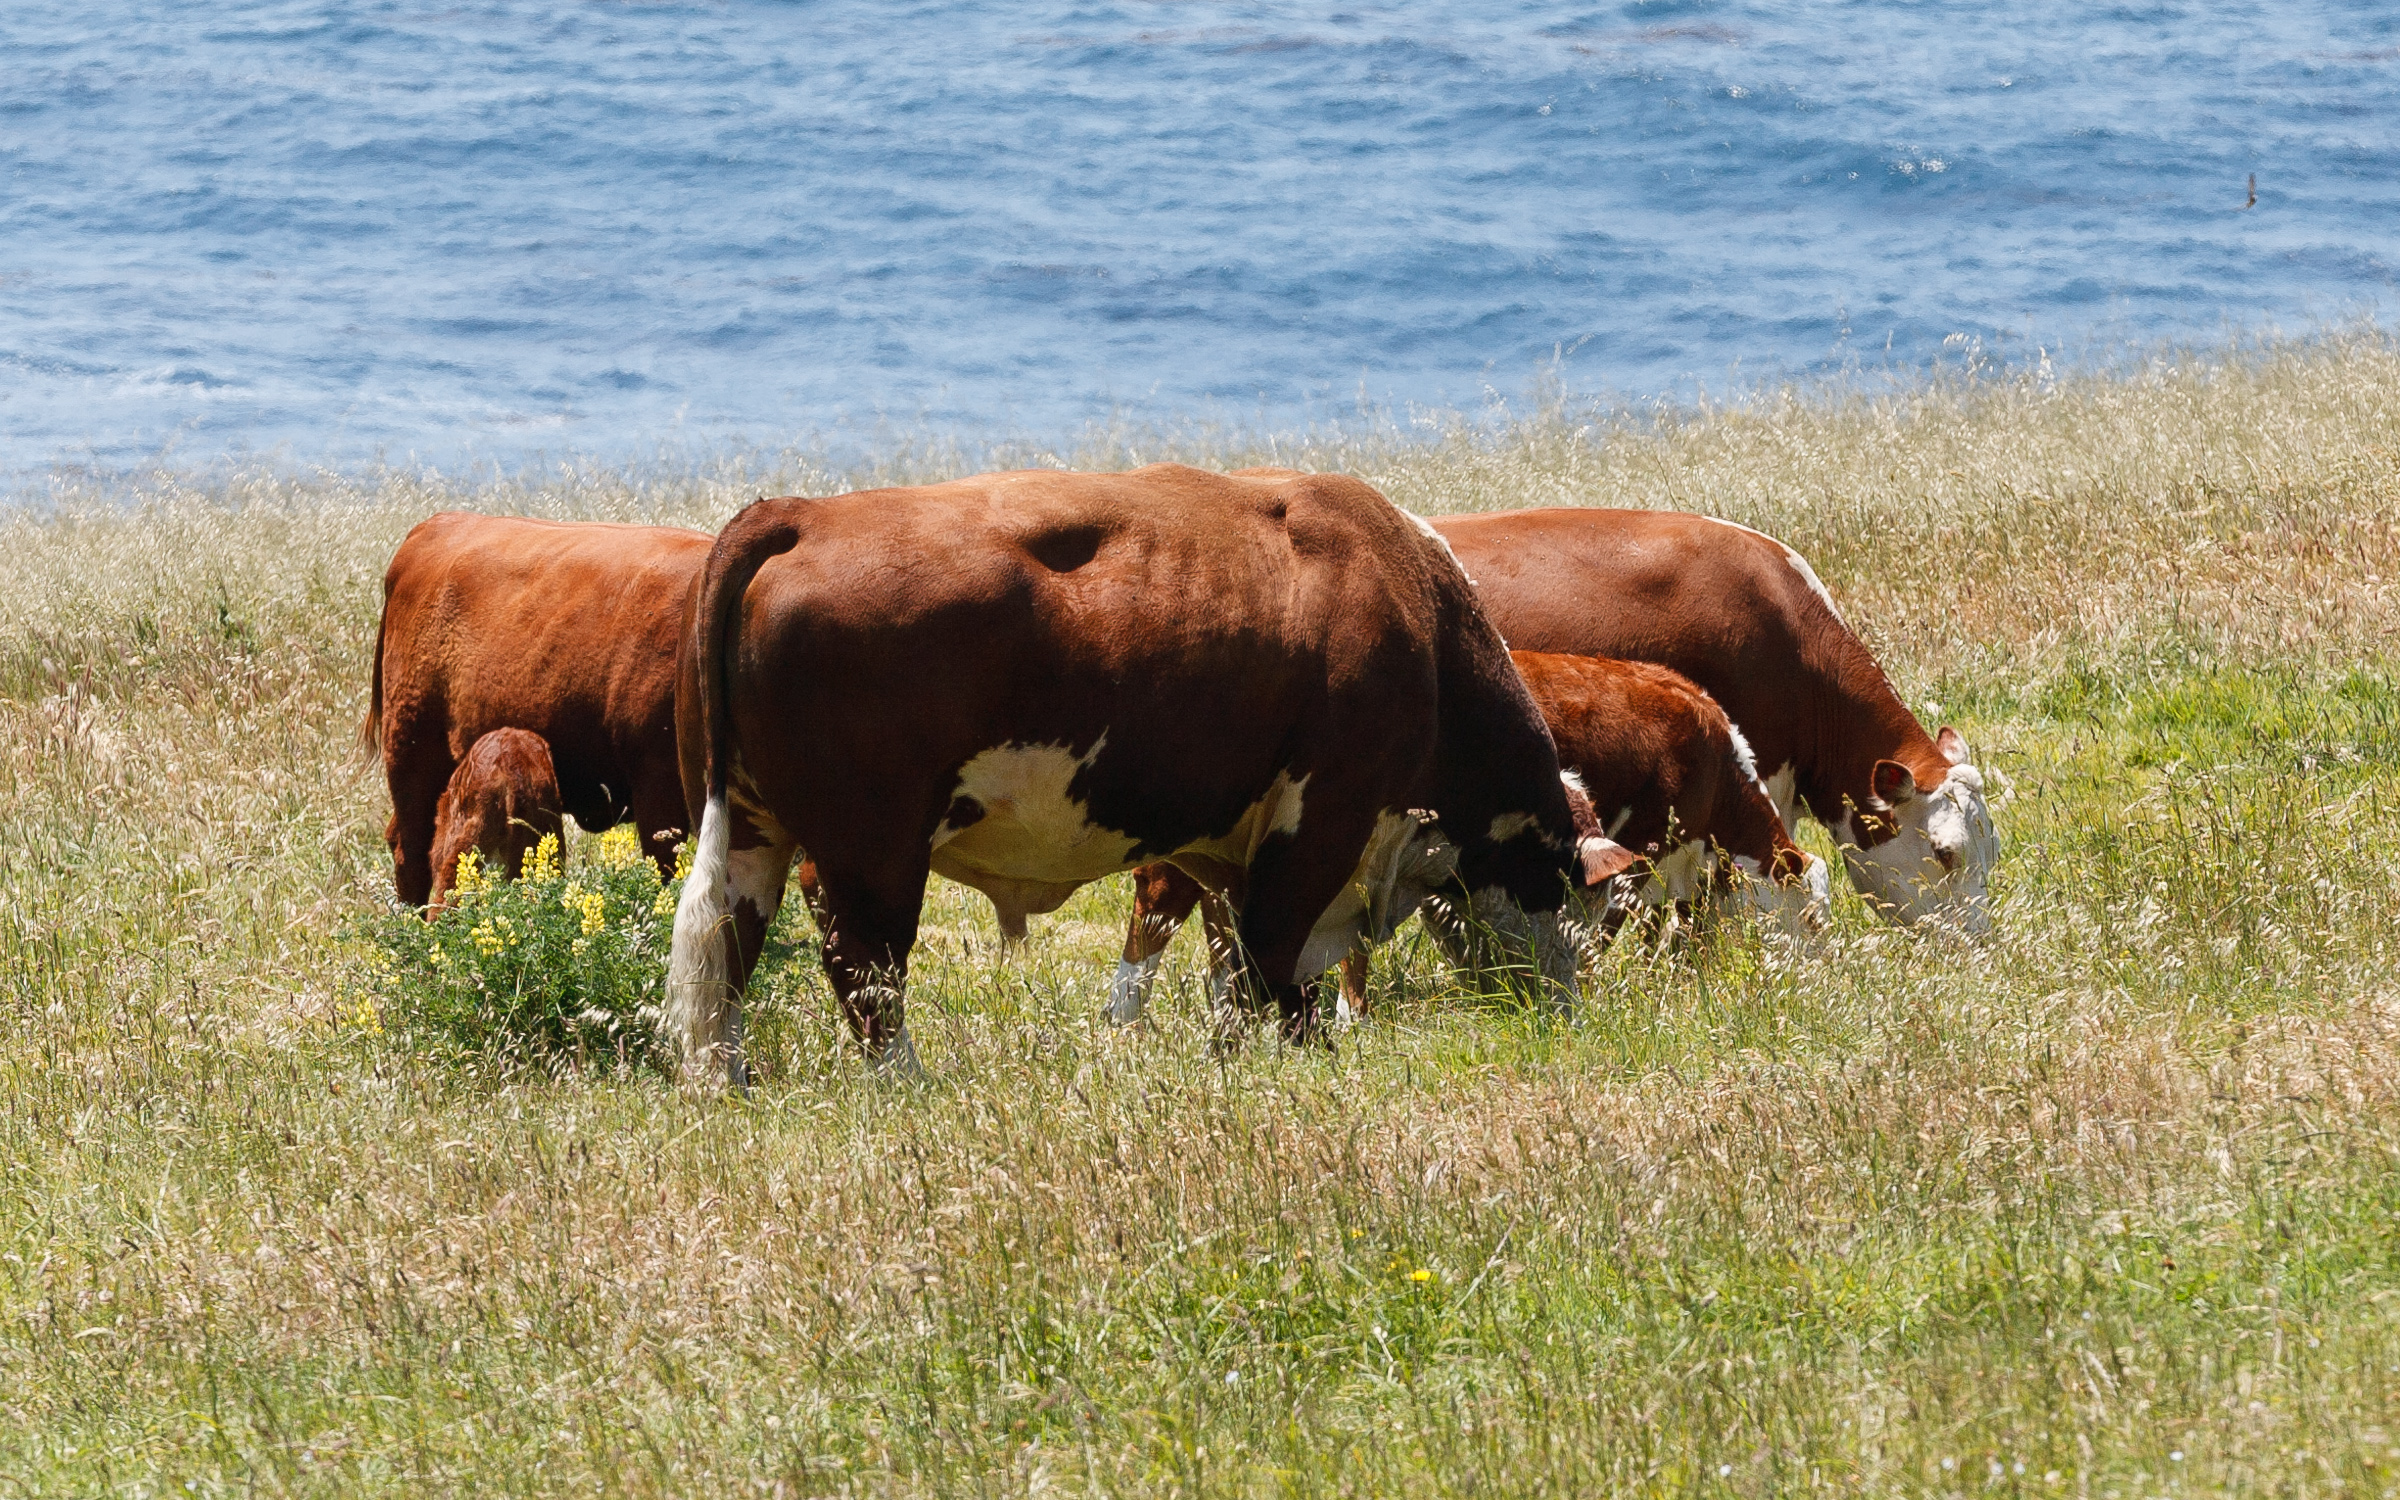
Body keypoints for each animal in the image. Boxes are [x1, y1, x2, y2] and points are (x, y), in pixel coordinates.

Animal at [663, 464, 1624, 1090]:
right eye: (1577, 896)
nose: (1569, 1015)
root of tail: (802, 513)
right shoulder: (1324, 817)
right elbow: (1276, 961)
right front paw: (1295, 1065)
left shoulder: (1232, 845)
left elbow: (1235, 965)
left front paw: (1243, 1056)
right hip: (873, 848)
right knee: (863, 963)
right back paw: (907, 1081)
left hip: (747, 827)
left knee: (725, 949)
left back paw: (725, 1080)